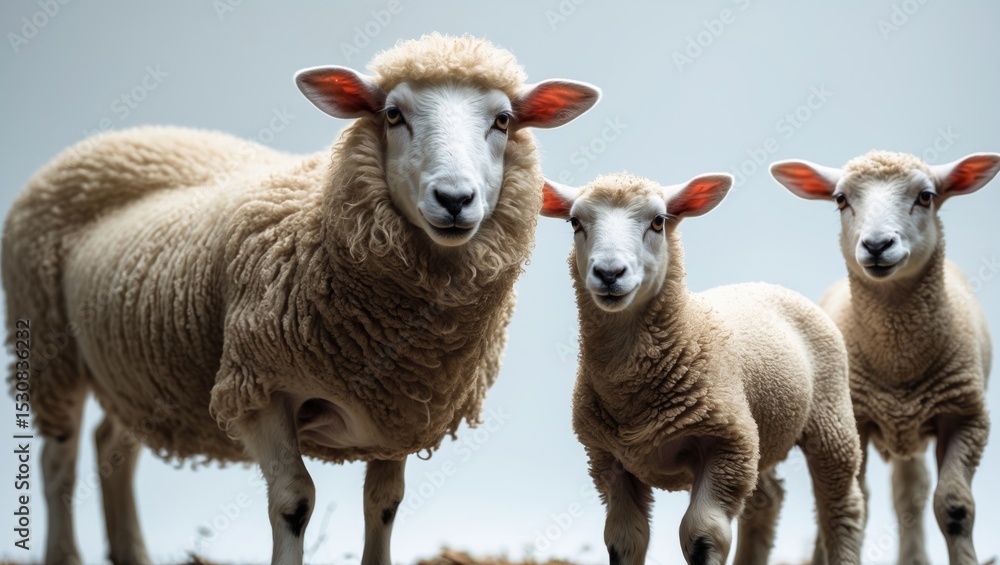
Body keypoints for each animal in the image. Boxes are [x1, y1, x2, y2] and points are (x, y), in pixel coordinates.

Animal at [2, 34, 600, 565]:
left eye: (502, 121)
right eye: (392, 114)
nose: (454, 199)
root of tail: (118, 138)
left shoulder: (402, 407)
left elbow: (384, 504)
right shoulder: (257, 383)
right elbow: (294, 500)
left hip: (138, 372)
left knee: (112, 450)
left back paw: (132, 553)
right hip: (52, 349)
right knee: (57, 464)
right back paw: (64, 553)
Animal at [540, 172, 865, 565]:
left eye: (658, 221)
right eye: (575, 222)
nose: (609, 273)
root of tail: (766, 284)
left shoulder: (726, 445)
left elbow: (702, 535)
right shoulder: (607, 460)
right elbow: (624, 539)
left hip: (830, 421)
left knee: (842, 508)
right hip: (758, 436)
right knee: (766, 500)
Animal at [770, 150, 998, 565]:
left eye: (926, 196)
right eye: (841, 199)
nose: (877, 244)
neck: (897, 361)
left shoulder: (967, 418)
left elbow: (955, 506)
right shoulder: (855, 421)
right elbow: (853, 507)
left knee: (911, 493)